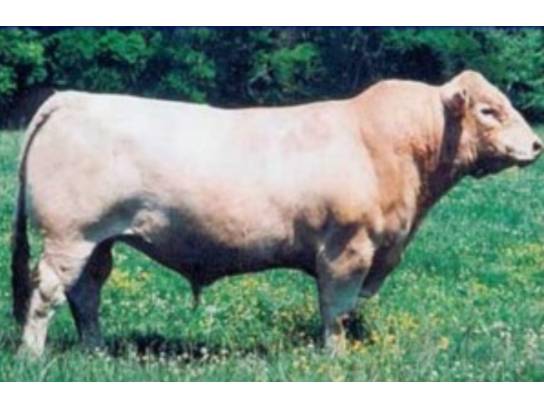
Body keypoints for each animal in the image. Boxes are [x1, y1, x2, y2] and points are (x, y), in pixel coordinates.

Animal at [11, 70, 542, 357]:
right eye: (489, 111)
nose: (536, 145)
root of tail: (73, 97)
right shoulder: (347, 248)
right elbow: (336, 308)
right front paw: (334, 357)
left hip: (97, 240)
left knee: (87, 293)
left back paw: (96, 350)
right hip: (69, 235)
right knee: (49, 292)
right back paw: (32, 356)